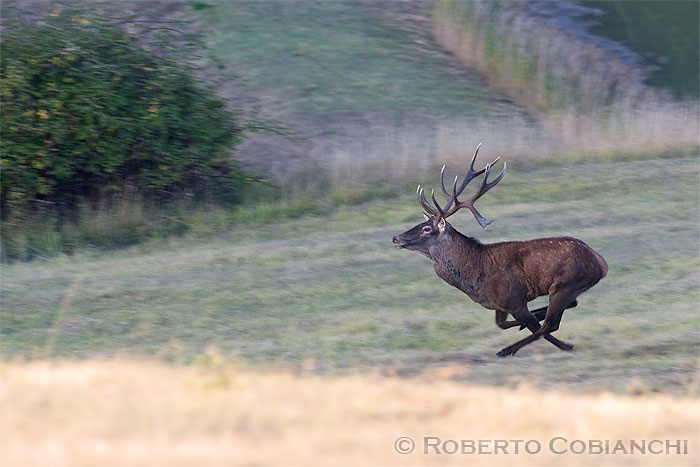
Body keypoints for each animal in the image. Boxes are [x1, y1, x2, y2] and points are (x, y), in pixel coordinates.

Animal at [394, 144, 608, 356]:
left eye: (426, 229)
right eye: (421, 223)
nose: (395, 238)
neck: (474, 279)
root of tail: (602, 263)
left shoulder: (514, 299)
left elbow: (533, 325)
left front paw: (563, 343)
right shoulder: (500, 305)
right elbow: (502, 324)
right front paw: (527, 323)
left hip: (566, 284)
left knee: (550, 324)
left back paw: (510, 349)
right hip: (568, 288)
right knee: (569, 306)